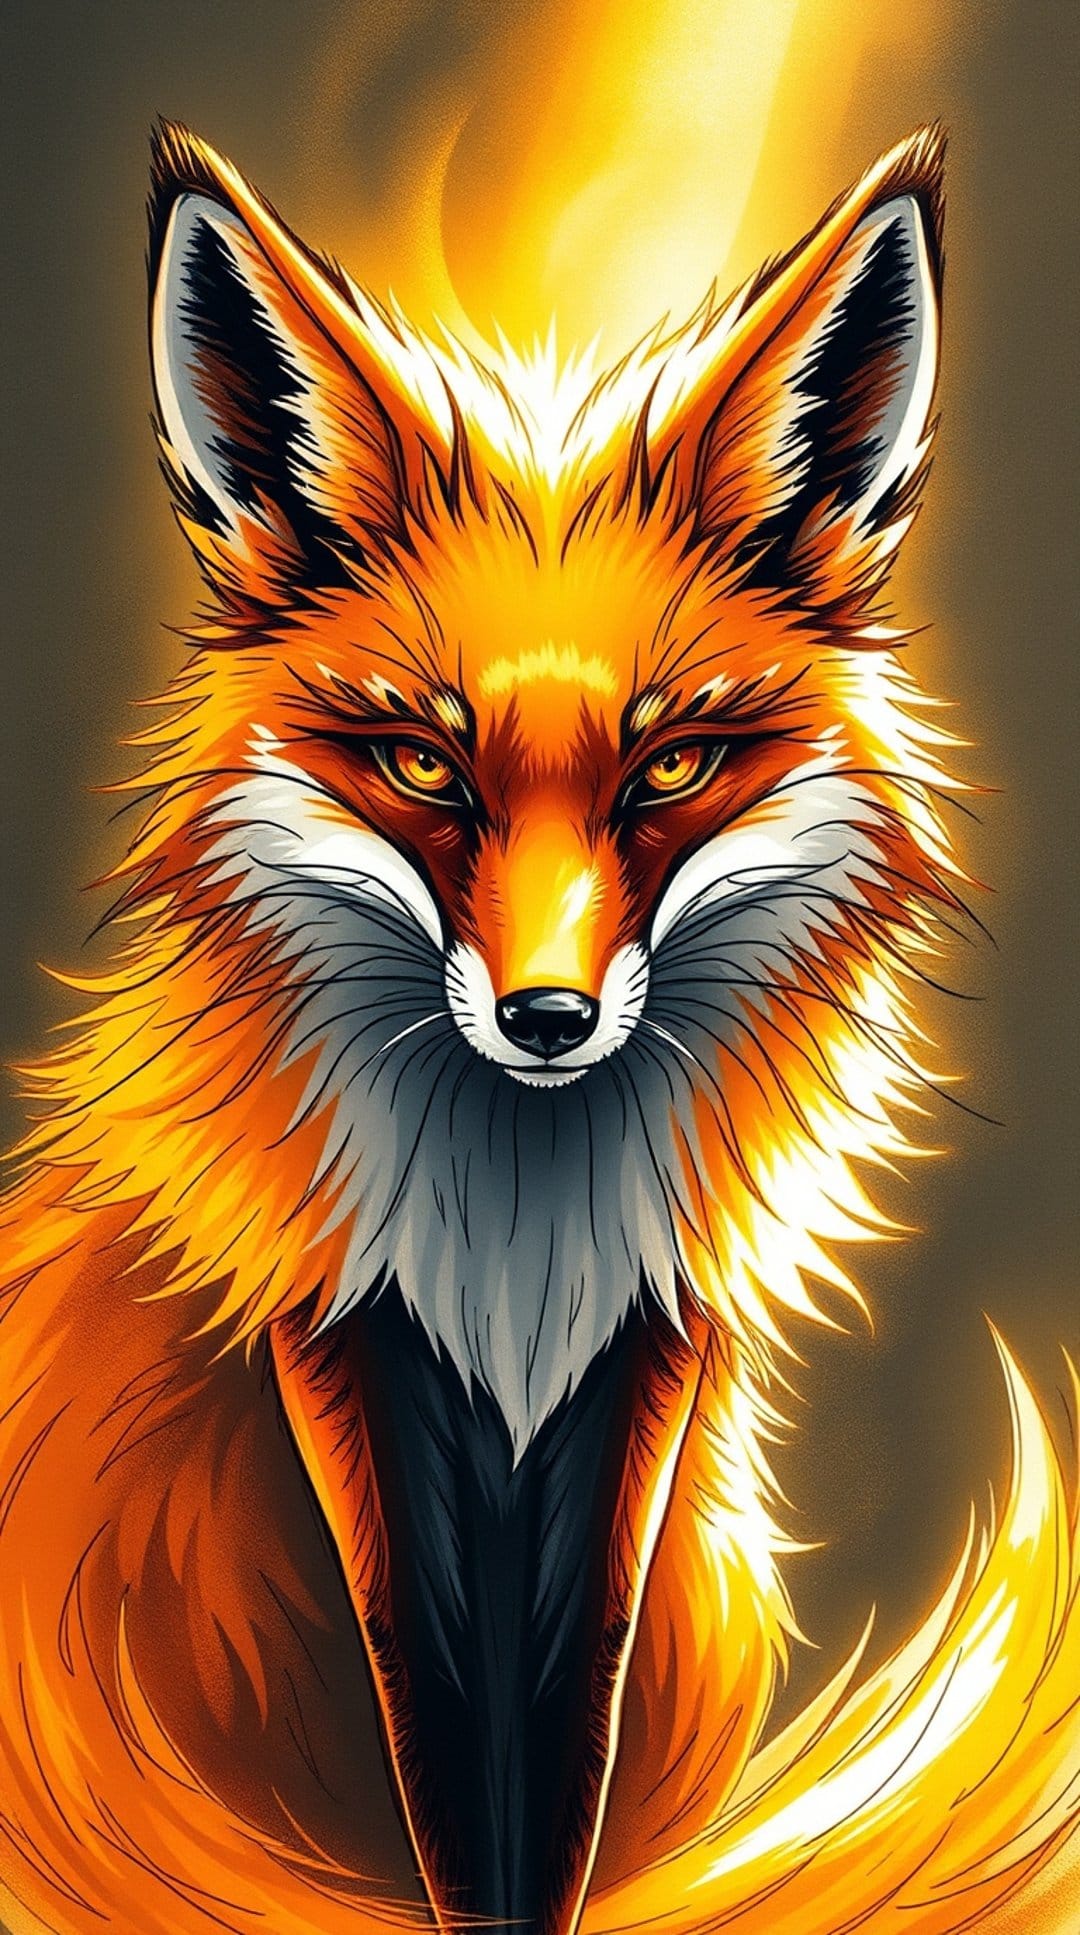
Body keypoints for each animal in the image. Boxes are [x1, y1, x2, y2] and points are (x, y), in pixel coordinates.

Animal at [1, 119, 1079, 1935]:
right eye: (425, 764)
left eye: (672, 763)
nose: (550, 1018)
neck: (513, 1256)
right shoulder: (346, 1338)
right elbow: (446, 1751)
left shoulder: (642, 1363)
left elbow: (563, 1753)